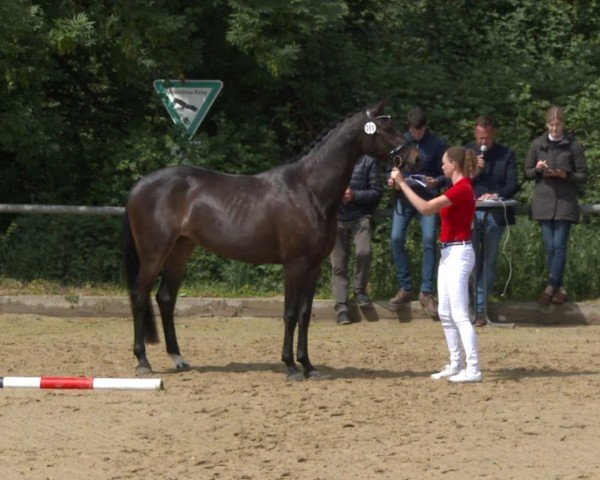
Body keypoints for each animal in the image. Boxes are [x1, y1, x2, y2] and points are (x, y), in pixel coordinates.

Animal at [124, 100, 420, 378]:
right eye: (387, 127)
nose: (414, 157)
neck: (308, 190)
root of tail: (138, 186)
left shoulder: (313, 268)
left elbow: (304, 315)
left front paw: (308, 366)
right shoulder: (294, 265)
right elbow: (289, 314)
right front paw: (291, 367)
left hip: (180, 251)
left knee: (165, 298)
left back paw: (178, 359)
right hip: (154, 253)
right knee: (139, 295)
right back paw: (142, 361)